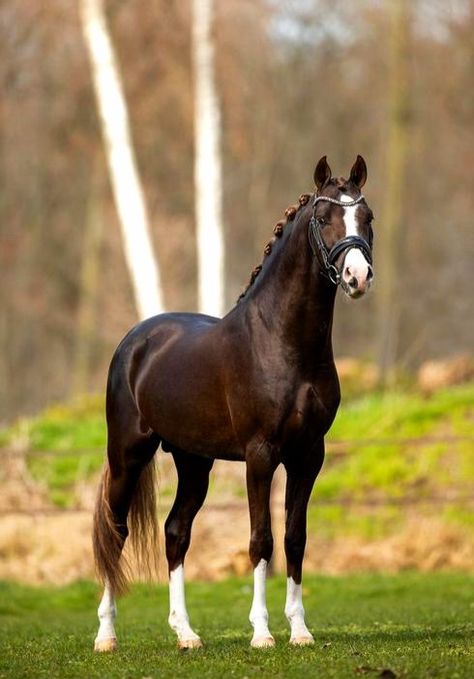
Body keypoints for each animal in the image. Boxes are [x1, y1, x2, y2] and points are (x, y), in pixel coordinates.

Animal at [92, 155, 374, 652]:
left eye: (368, 217)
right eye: (324, 218)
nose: (357, 278)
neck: (281, 343)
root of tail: (135, 341)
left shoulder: (308, 456)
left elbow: (294, 538)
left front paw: (300, 631)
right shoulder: (260, 455)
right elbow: (261, 539)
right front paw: (262, 633)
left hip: (193, 462)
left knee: (175, 533)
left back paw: (186, 633)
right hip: (128, 455)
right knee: (116, 530)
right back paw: (106, 636)